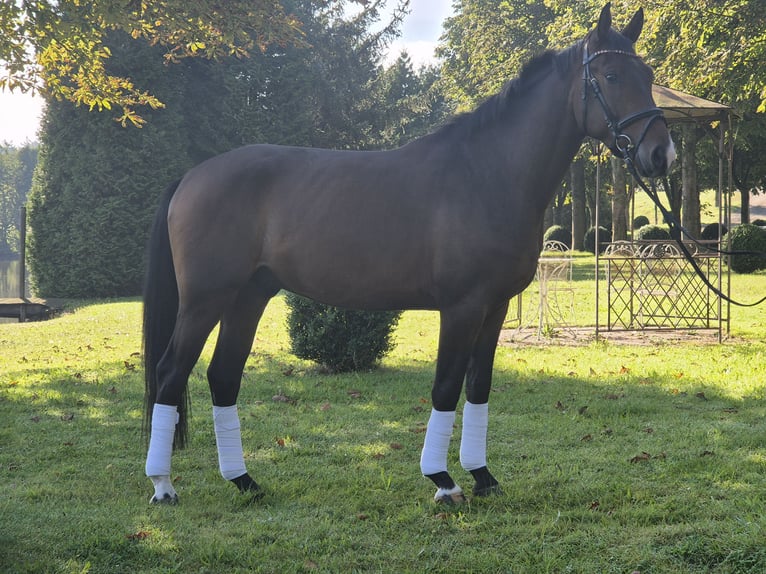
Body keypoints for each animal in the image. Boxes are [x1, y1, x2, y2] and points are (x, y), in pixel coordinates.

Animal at [144, 4, 680, 506]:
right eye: (611, 76)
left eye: (648, 74)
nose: (662, 154)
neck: (487, 173)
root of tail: (191, 176)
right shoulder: (461, 308)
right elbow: (445, 386)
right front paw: (442, 480)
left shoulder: (495, 308)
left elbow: (478, 386)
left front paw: (482, 475)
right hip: (205, 300)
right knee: (170, 374)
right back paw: (164, 485)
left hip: (249, 296)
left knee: (222, 376)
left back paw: (243, 481)